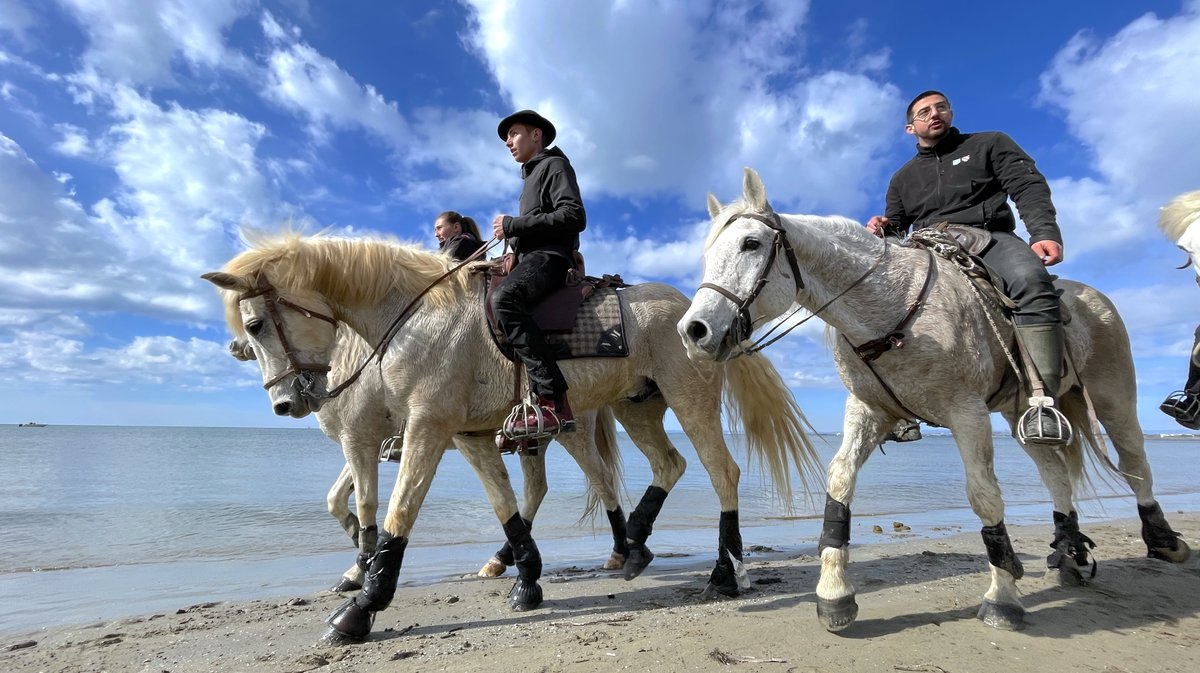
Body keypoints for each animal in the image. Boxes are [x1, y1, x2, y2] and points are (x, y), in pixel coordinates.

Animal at [230, 326, 633, 592]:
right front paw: (360, 549)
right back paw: (499, 561)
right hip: (532, 441)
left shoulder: (358, 441)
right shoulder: (365, 445)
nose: (234, 345)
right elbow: (336, 499)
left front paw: (361, 564)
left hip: (572, 435)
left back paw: (618, 553)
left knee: (599, 479)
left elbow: (361, 503)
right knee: (535, 488)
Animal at [676, 166, 1190, 628]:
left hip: (1113, 398)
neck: (893, 309)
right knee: (1056, 475)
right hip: (1020, 415)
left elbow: (985, 497)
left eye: (751, 244)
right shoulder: (868, 411)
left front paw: (1002, 597)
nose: (693, 330)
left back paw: (1162, 540)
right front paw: (835, 593)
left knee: (1136, 463)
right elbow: (839, 484)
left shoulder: (966, 413)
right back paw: (1069, 553)